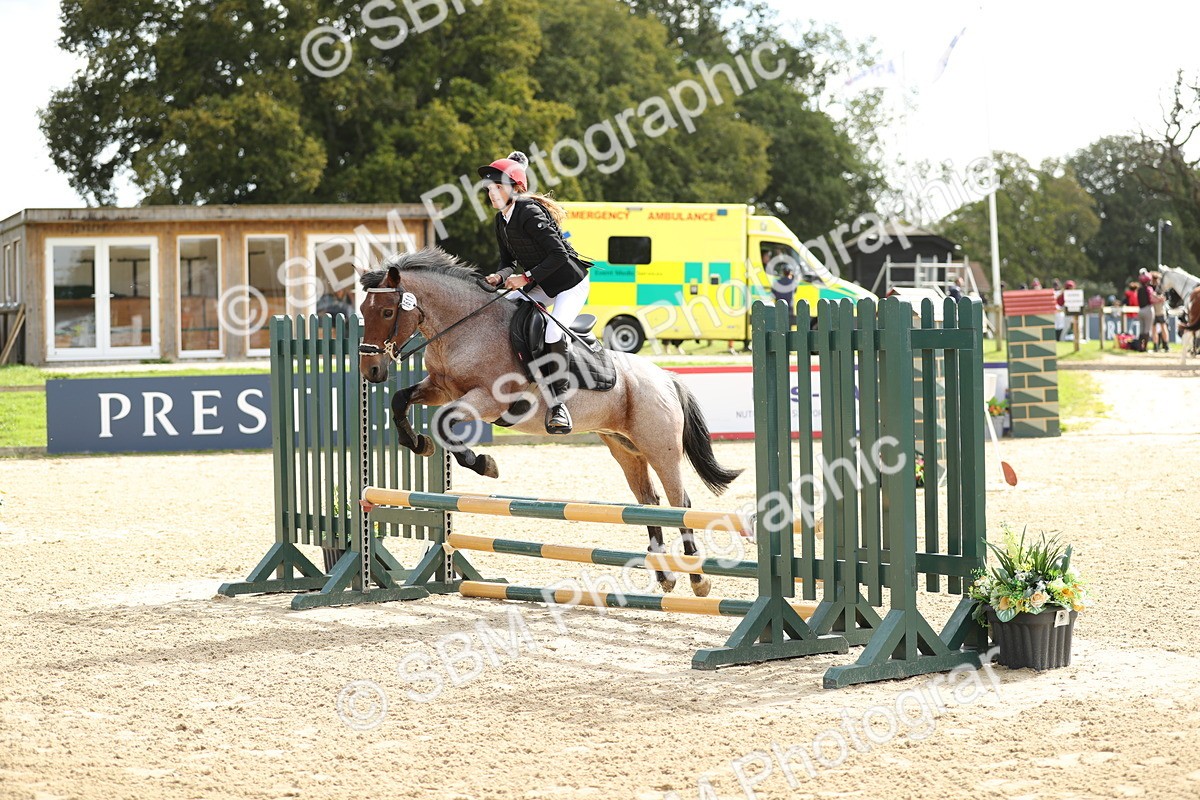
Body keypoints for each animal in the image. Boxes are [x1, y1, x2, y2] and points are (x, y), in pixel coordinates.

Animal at [356, 247, 744, 596]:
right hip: (626, 449)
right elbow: (400, 401)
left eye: (387, 311)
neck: (466, 326)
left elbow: (444, 424)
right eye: (362, 311)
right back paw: (666, 576)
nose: (371, 371)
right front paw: (417, 443)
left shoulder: (488, 400)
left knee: (681, 504)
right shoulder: (439, 388)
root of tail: (666, 377)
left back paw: (698, 579)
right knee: (650, 502)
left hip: (660, 447)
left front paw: (484, 463)